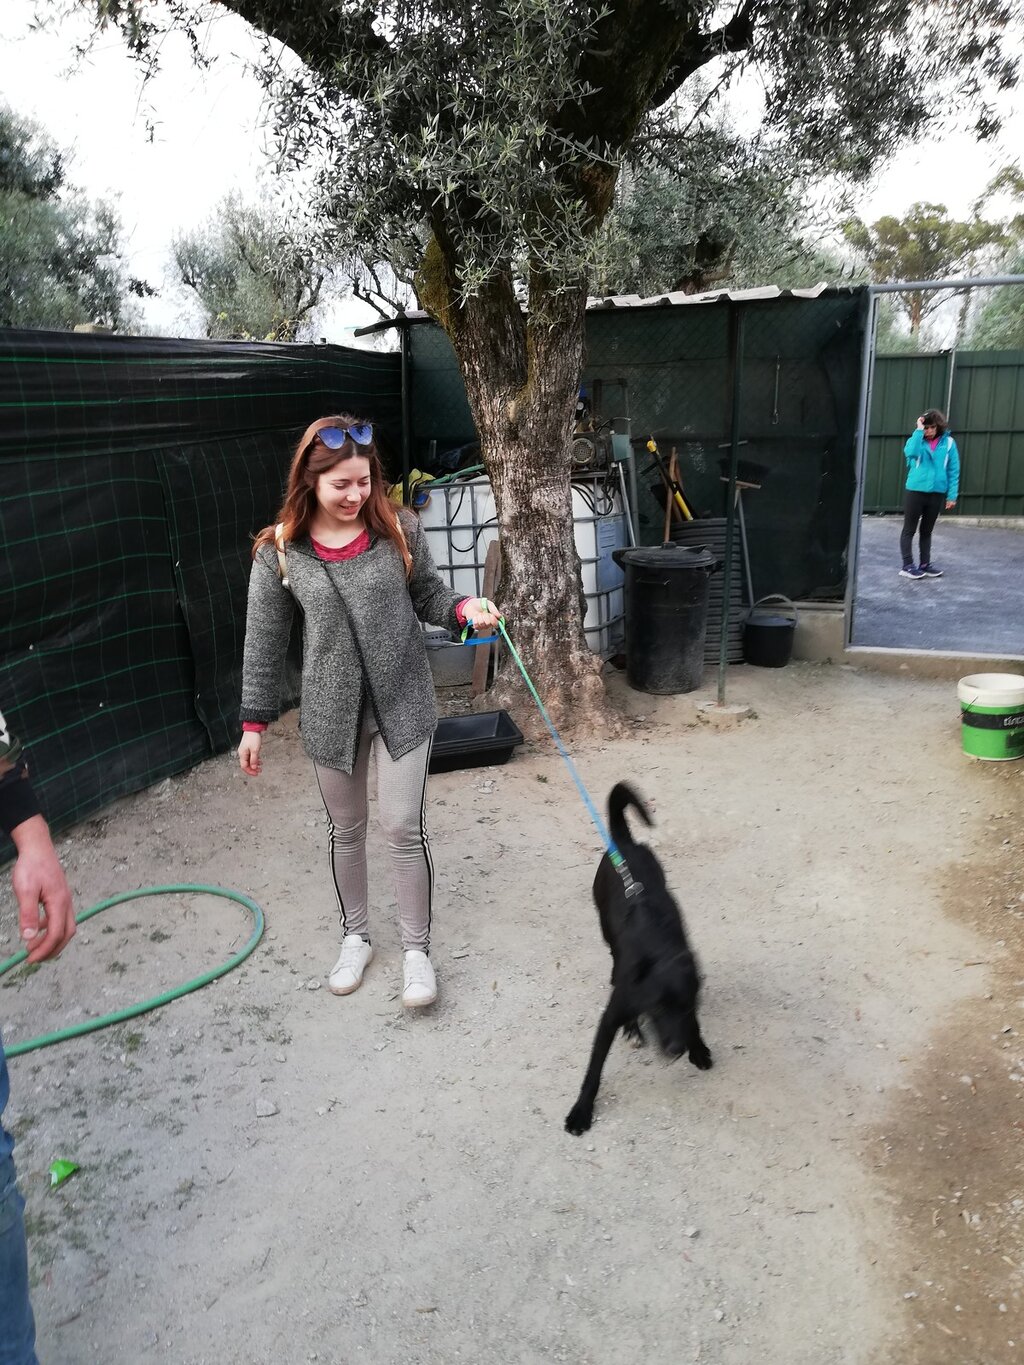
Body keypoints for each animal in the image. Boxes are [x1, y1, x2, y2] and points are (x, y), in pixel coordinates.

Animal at [564, 782, 712, 1136]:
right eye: (657, 1008)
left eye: (688, 1006)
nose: (676, 1050)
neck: (658, 949)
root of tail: (624, 843)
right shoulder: (611, 1016)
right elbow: (593, 1070)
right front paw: (581, 1110)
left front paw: (698, 1044)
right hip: (606, 931)